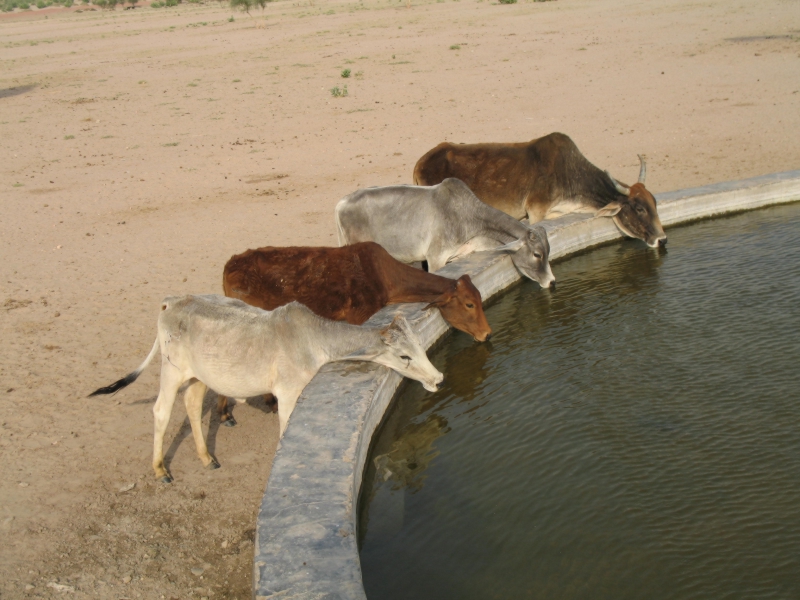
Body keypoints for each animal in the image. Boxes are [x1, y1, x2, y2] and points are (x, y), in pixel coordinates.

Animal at [92, 296, 450, 482]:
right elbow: (284, 433)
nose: (439, 378)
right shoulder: (289, 394)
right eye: (404, 356)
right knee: (161, 412)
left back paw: (207, 458)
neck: (315, 340)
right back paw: (160, 469)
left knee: (192, 407)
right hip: (172, 371)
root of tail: (170, 303)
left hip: (199, 377)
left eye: (419, 346)